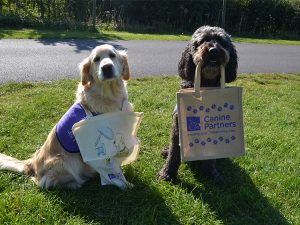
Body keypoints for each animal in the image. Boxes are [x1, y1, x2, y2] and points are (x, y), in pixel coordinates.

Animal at [0, 44, 132, 190]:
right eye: (96, 59)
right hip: (66, 161)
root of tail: (32, 163)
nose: (106, 67)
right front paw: (122, 183)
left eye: (112, 55)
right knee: (44, 182)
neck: (109, 94)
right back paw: (77, 182)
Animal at [158, 25, 238, 184]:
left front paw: (211, 174)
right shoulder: (178, 126)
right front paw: (167, 173)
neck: (204, 86)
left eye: (222, 42)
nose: (213, 50)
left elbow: (210, 158)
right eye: (202, 41)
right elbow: (174, 152)